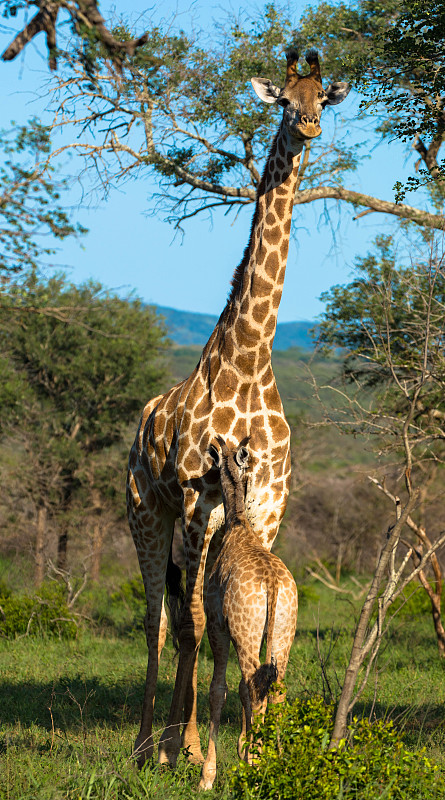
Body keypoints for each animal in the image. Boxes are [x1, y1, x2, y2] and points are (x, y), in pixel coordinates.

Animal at [199, 434, 296, 792]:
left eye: (212, 464)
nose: (201, 481)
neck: (238, 523)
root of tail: (272, 583)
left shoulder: (217, 625)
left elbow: (219, 690)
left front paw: (208, 776)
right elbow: (239, 689)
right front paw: (245, 750)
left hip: (245, 631)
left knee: (254, 685)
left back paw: (255, 766)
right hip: (283, 631)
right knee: (275, 687)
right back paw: (278, 761)